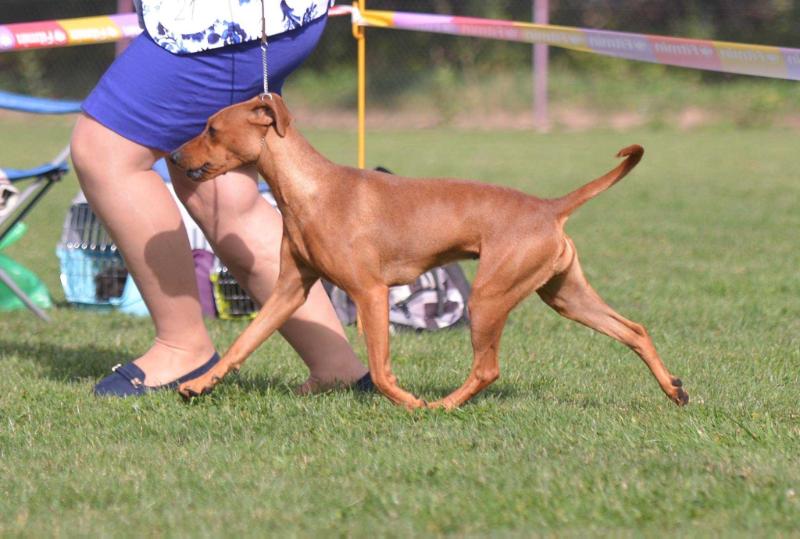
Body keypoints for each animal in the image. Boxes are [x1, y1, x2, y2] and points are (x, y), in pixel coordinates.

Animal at [169, 94, 688, 410]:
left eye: (211, 128)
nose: (173, 157)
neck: (310, 190)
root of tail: (549, 207)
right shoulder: (288, 291)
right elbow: (243, 342)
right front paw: (196, 384)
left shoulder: (370, 293)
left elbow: (381, 371)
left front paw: (409, 404)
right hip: (564, 295)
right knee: (634, 330)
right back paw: (674, 390)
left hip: (489, 297)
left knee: (487, 368)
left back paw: (441, 406)